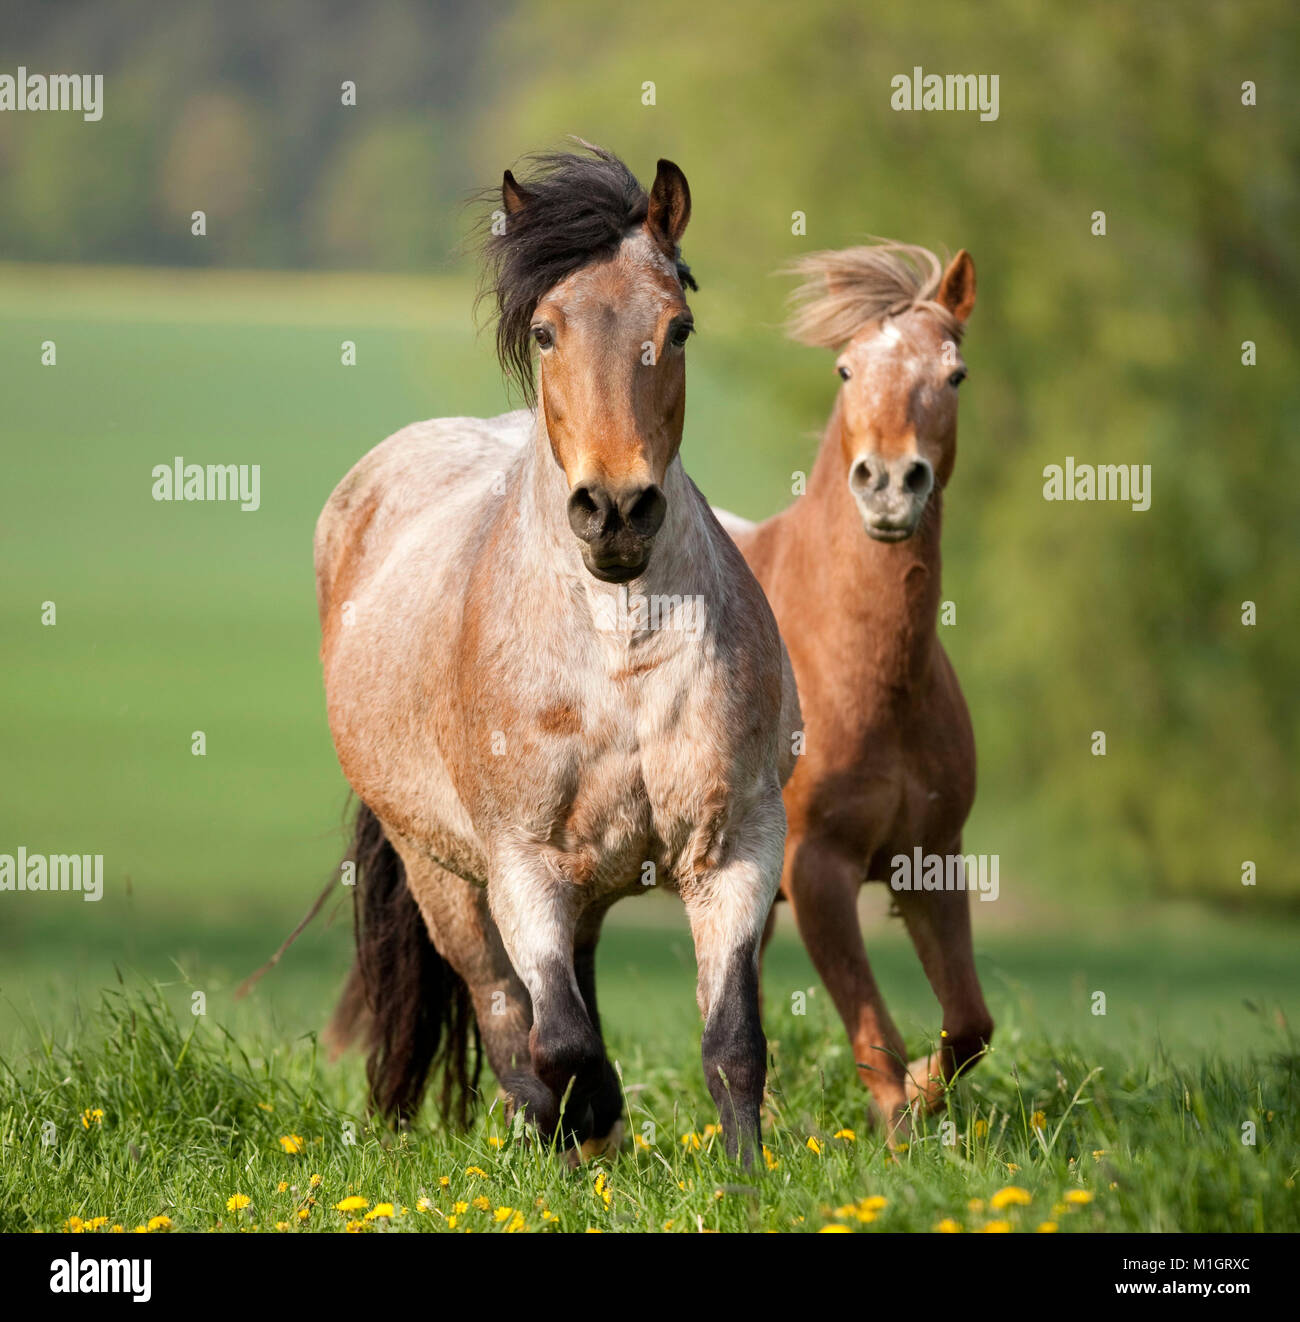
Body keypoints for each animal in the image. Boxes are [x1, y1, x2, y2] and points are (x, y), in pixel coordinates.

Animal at [315, 145, 799, 1164]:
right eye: (544, 331)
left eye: (678, 327)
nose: (615, 510)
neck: (619, 656)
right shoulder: (522, 864)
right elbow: (563, 1044)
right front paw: (595, 1117)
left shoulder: (736, 845)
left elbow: (733, 1041)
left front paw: (745, 1177)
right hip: (445, 879)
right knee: (508, 1019)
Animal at [718, 241, 993, 1138]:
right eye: (845, 369)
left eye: (955, 374)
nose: (889, 483)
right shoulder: (818, 869)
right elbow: (874, 1032)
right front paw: (899, 1132)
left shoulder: (931, 859)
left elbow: (970, 1023)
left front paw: (926, 1095)